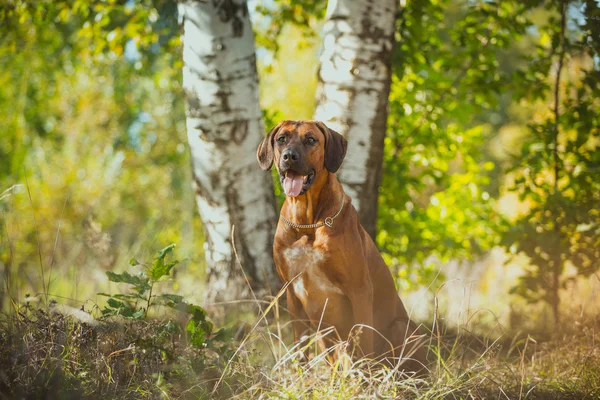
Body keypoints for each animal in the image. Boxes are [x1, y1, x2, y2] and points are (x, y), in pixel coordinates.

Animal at [255, 119, 428, 376]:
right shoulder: (292, 294)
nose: (289, 156)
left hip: (401, 328)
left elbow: (364, 339)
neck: (307, 222)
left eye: (311, 140)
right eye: (281, 139)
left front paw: (365, 381)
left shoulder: (359, 289)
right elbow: (299, 348)